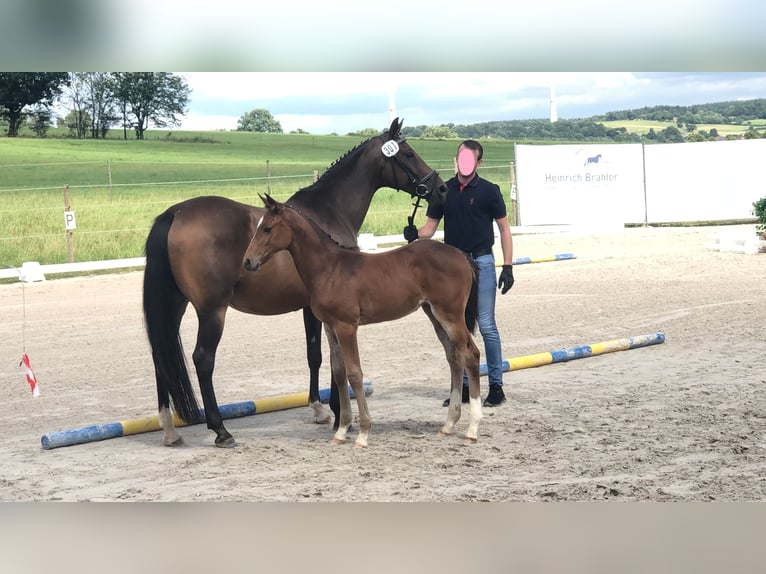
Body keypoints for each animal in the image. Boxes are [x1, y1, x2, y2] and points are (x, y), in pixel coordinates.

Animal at [143, 118, 448, 448]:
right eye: (408, 153)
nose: (441, 187)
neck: (327, 212)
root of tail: (175, 213)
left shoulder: (310, 307)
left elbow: (314, 355)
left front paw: (322, 409)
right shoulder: (321, 309)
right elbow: (327, 357)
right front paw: (335, 413)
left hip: (175, 304)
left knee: (161, 356)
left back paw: (169, 429)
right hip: (212, 309)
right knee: (202, 359)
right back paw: (221, 430)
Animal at [242, 194, 483, 448]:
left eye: (267, 228)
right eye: (259, 227)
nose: (248, 261)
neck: (329, 269)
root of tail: (461, 255)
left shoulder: (347, 326)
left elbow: (354, 374)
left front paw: (363, 433)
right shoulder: (330, 327)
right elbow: (339, 374)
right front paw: (341, 431)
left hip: (451, 315)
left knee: (470, 355)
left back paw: (472, 429)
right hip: (434, 315)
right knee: (454, 358)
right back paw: (448, 425)